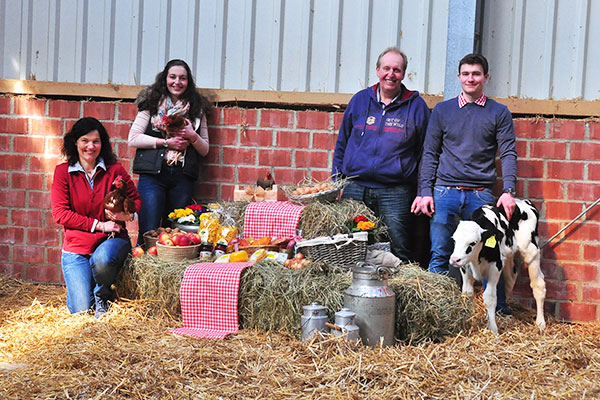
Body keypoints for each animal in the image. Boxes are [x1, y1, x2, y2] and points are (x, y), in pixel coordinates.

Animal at [450, 198, 544, 334]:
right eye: (454, 240)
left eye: (472, 243)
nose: (454, 260)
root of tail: (524, 201)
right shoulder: (465, 267)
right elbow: (467, 293)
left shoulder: (495, 267)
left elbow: (490, 297)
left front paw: (493, 329)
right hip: (508, 255)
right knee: (510, 279)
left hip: (531, 250)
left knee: (538, 284)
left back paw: (541, 323)